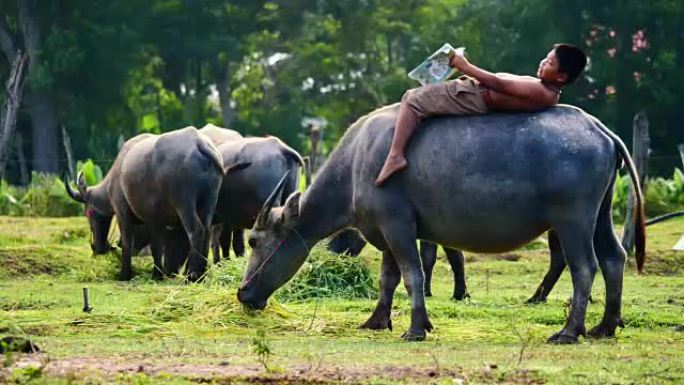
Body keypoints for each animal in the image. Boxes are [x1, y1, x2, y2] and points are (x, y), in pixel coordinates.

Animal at [66, 126, 223, 280]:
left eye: (89, 212)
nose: (97, 247)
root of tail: (199, 142)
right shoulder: (156, 220)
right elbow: (157, 246)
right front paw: (157, 274)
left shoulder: (122, 212)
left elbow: (128, 242)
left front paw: (125, 274)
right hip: (209, 201)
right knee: (207, 230)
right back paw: (202, 274)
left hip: (184, 203)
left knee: (195, 229)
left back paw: (192, 275)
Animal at [240, 104, 648, 342]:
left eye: (254, 240)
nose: (243, 294)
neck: (357, 164)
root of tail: (599, 130)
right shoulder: (385, 234)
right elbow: (388, 279)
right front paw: (376, 320)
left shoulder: (398, 227)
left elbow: (413, 275)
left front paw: (416, 327)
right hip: (600, 215)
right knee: (614, 258)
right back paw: (605, 326)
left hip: (572, 219)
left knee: (584, 267)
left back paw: (569, 330)